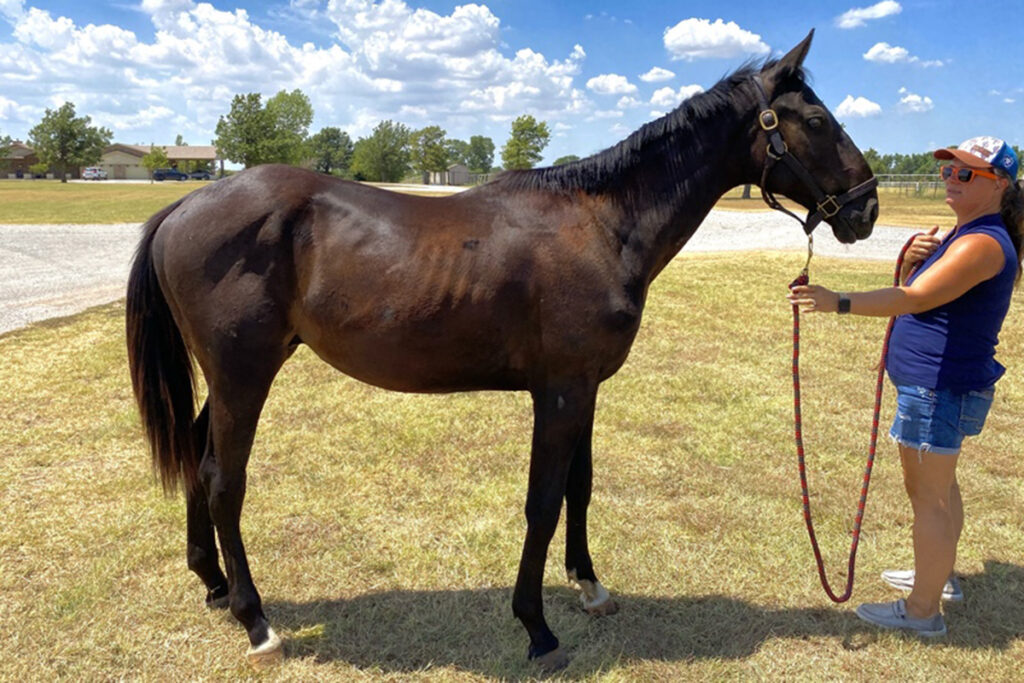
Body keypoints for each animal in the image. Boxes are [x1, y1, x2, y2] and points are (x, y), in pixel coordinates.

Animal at [125, 30, 880, 667]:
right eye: (815, 121)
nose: (867, 208)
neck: (602, 224)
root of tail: (184, 207)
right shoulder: (561, 390)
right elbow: (542, 501)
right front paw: (537, 627)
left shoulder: (585, 386)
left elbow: (580, 485)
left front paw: (591, 586)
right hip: (243, 375)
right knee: (225, 478)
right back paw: (257, 622)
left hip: (238, 374)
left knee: (198, 457)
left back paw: (215, 584)